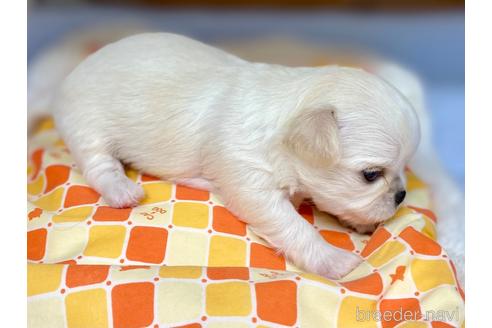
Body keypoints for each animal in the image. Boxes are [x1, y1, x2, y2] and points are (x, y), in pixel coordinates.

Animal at [49, 32, 418, 280]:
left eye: (404, 168)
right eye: (371, 175)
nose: (401, 196)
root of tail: (70, 77)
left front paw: (360, 222)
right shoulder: (250, 183)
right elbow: (295, 226)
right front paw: (334, 260)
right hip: (87, 125)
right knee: (98, 165)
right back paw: (122, 190)